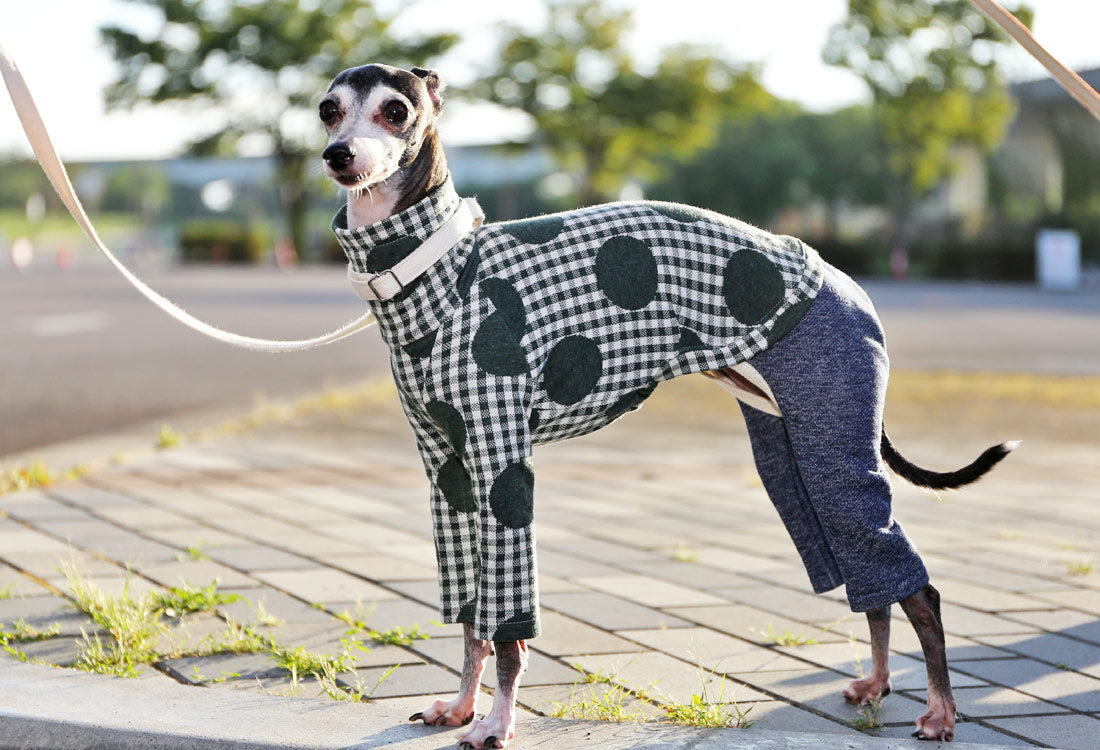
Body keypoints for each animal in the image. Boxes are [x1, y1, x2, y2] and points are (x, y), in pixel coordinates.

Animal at [319, 65, 1012, 747]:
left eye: (396, 111)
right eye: (329, 109)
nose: (339, 155)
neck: (430, 268)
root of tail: (840, 279)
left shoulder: (503, 467)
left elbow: (508, 635)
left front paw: (496, 722)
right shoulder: (452, 474)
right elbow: (471, 623)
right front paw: (463, 706)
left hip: (833, 442)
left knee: (920, 591)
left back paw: (941, 712)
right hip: (793, 455)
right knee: (871, 576)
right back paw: (876, 683)